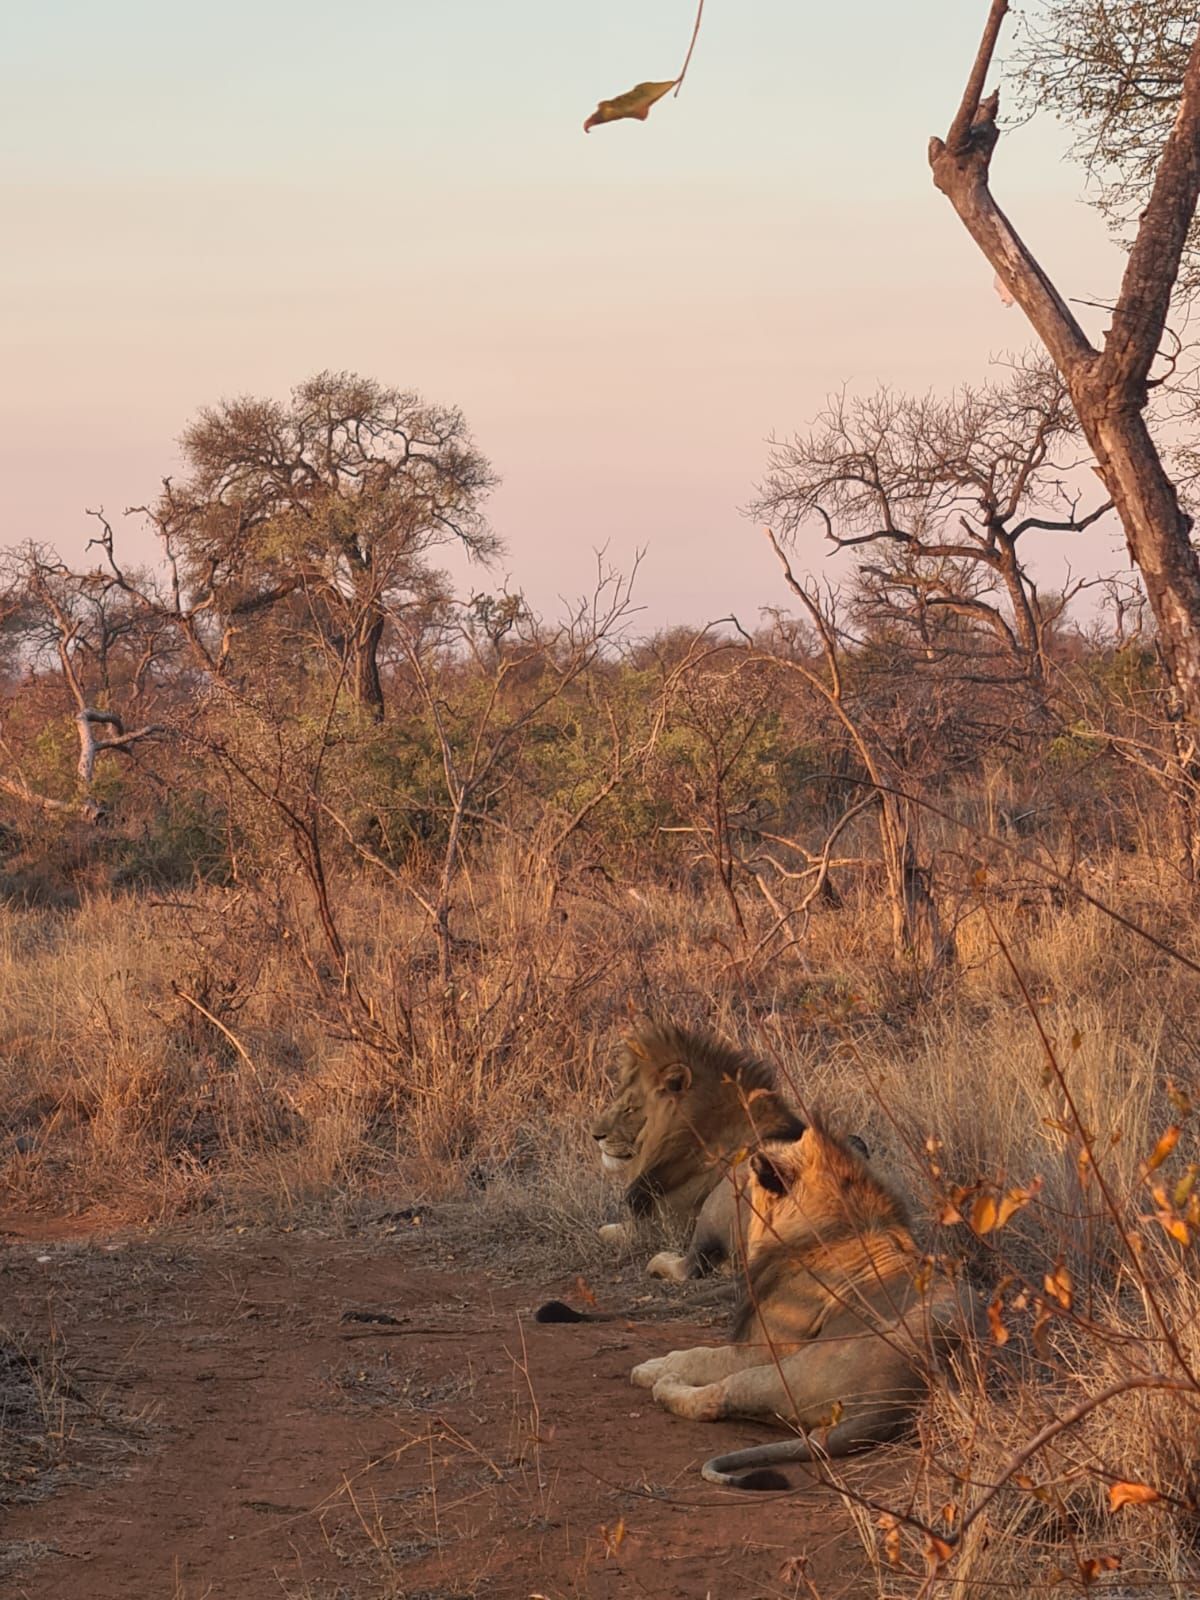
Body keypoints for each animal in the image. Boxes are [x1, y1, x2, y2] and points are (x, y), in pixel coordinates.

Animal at [589, 1020, 806, 1281]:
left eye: (630, 1108)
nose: (595, 1135)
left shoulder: (658, 1226)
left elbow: (604, 1231)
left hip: (718, 1200)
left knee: (688, 1267)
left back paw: (657, 1262)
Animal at [630, 1120, 975, 1489]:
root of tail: (892, 1401)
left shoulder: (758, 1350)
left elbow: (699, 1355)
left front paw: (653, 1367)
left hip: (788, 1370)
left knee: (717, 1397)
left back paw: (664, 1383)